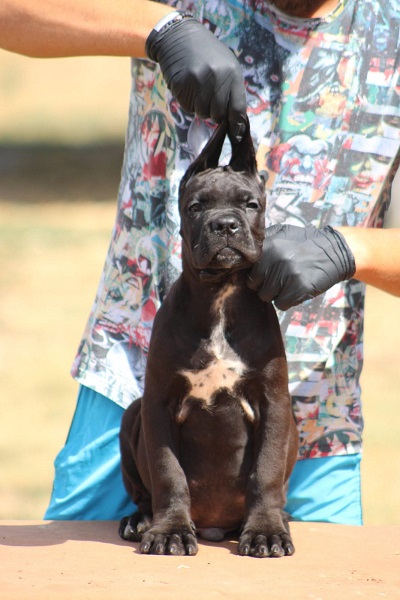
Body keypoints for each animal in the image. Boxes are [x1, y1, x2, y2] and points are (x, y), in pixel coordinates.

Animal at [117, 118, 298, 556]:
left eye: (250, 204)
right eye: (196, 207)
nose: (225, 225)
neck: (220, 295)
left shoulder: (274, 403)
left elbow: (266, 472)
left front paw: (266, 530)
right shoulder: (158, 403)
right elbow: (168, 473)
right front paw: (169, 530)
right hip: (132, 414)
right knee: (143, 490)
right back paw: (140, 520)